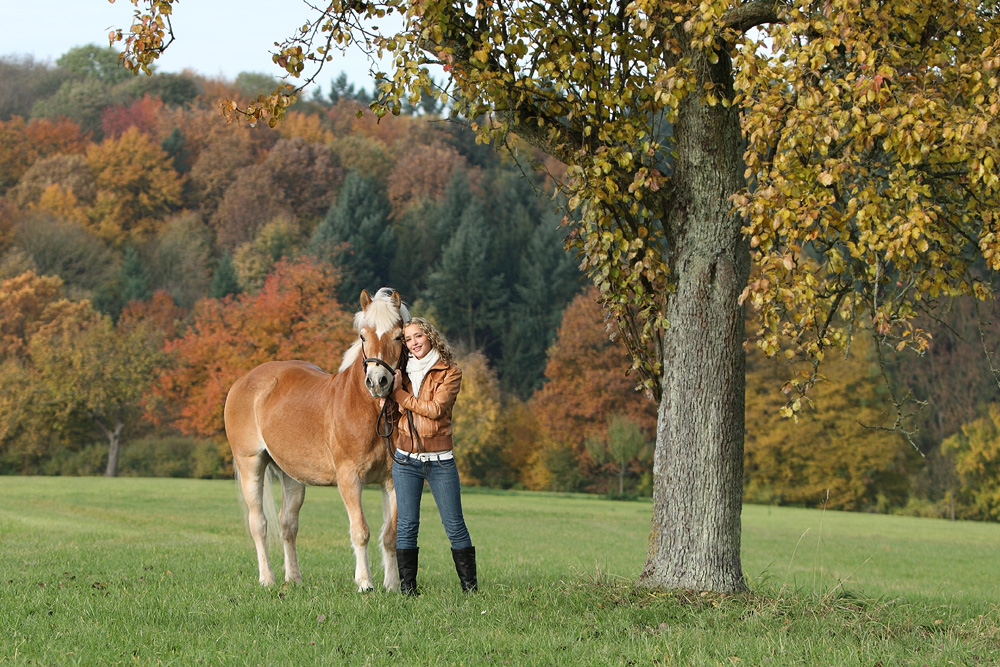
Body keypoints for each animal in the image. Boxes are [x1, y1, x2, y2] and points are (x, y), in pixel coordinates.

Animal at [225, 288, 408, 588]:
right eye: (363, 336)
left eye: (399, 336)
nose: (378, 381)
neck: (366, 409)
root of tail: (243, 381)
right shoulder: (349, 478)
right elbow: (361, 531)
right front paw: (365, 583)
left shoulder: (392, 482)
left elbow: (390, 535)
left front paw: (392, 585)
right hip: (250, 464)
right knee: (259, 524)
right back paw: (267, 578)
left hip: (291, 475)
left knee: (287, 525)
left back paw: (294, 578)